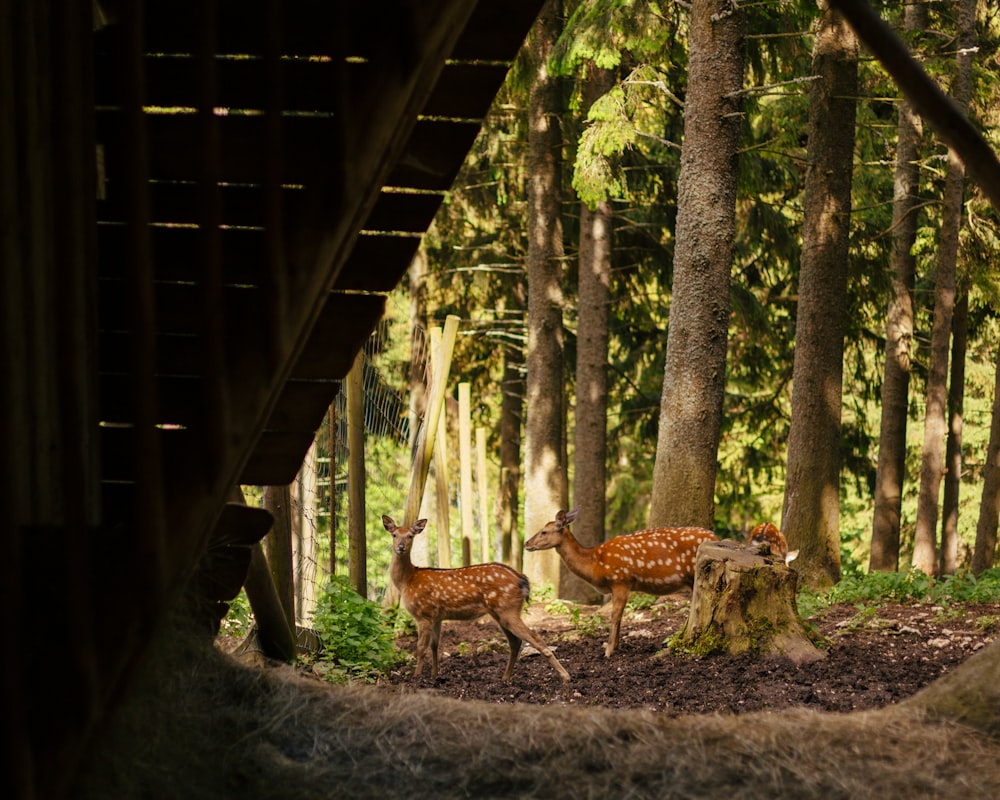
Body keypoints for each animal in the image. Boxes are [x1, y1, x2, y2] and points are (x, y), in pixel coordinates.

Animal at [384, 516, 572, 684]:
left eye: (410, 535)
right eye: (394, 534)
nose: (400, 547)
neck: (407, 581)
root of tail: (522, 580)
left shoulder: (423, 613)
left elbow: (421, 648)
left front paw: (416, 678)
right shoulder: (436, 616)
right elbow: (435, 646)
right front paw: (434, 676)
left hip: (507, 610)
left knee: (534, 637)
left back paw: (565, 677)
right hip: (501, 613)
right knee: (515, 641)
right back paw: (505, 678)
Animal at [524, 510, 720, 652]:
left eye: (543, 532)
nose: (527, 543)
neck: (596, 563)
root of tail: (716, 537)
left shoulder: (621, 580)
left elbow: (615, 615)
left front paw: (609, 650)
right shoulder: (617, 586)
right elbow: (620, 615)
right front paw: (615, 646)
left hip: (695, 574)